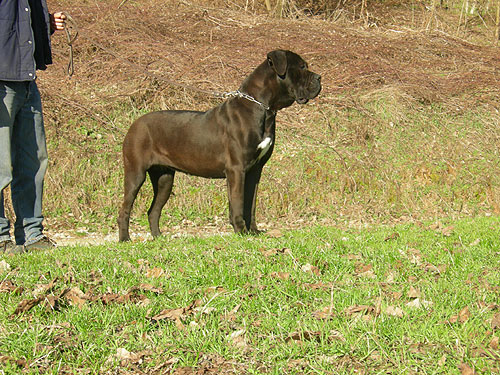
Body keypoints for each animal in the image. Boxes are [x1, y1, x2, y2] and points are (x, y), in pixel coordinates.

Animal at [117, 50, 320, 242]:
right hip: (136, 173)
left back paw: (158, 237)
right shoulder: (236, 169)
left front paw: (253, 231)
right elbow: (238, 203)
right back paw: (125, 239)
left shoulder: (255, 171)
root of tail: (134, 124)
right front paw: (240, 231)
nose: (319, 77)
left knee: (153, 210)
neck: (263, 109)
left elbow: (251, 204)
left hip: (164, 178)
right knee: (124, 209)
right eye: (302, 67)